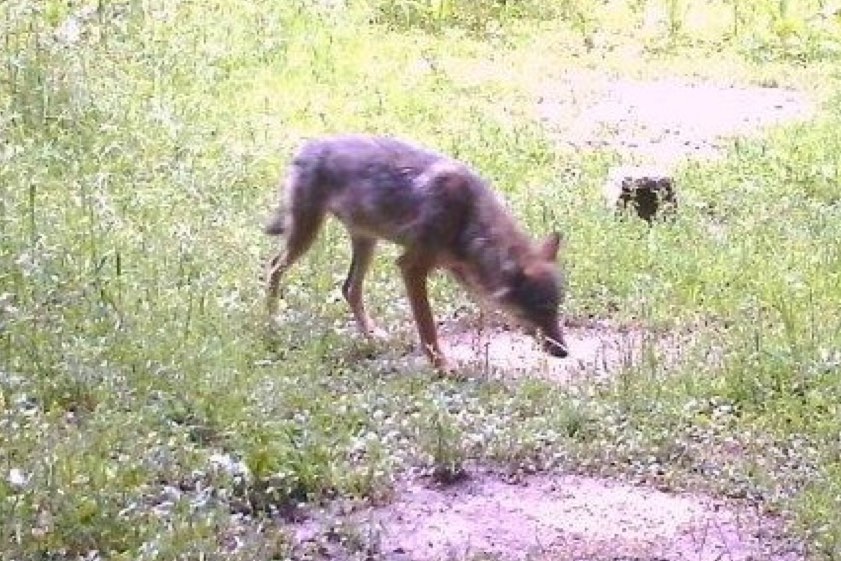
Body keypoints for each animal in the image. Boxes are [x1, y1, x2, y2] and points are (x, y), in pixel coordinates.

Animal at [264, 135, 568, 372]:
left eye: (556, 308)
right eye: (540, 309)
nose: (564, 352)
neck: (467, 215)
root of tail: (306, 147)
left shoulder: (460, 270)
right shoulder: (411, 267)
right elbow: (428, 328)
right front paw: (442, 368)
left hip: (366, 242)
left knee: (349, 288)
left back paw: (372, 335)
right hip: (306, 236)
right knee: (273, 266)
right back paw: (272, 320)